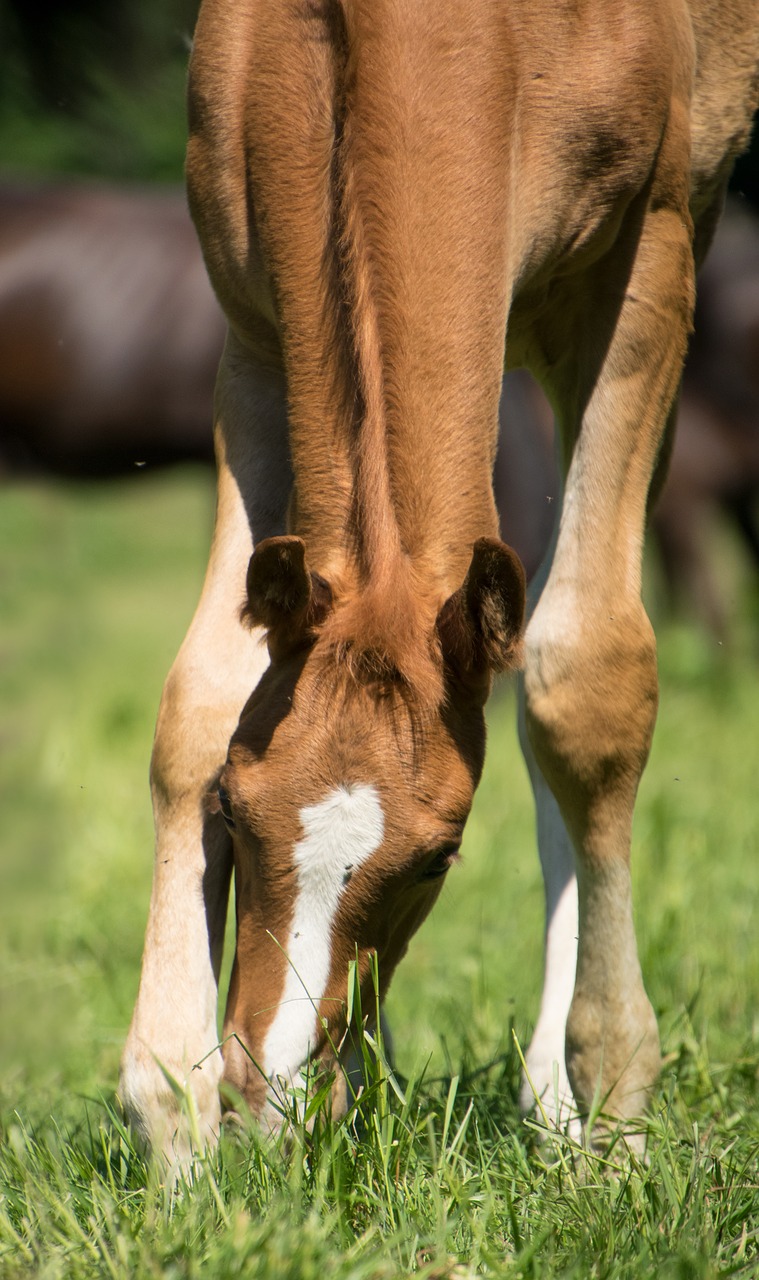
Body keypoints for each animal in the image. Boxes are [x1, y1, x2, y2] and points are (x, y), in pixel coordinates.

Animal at [119, 0, 757, 1162]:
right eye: (236, 813)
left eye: (437, 860)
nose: (271, 1099)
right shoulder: (251, 323)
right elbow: (201, 695)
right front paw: (177, 1115)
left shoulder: (645, 259)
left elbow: (585, 677)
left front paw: (610, 1095)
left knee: (558, 647)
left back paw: (555, 1096)